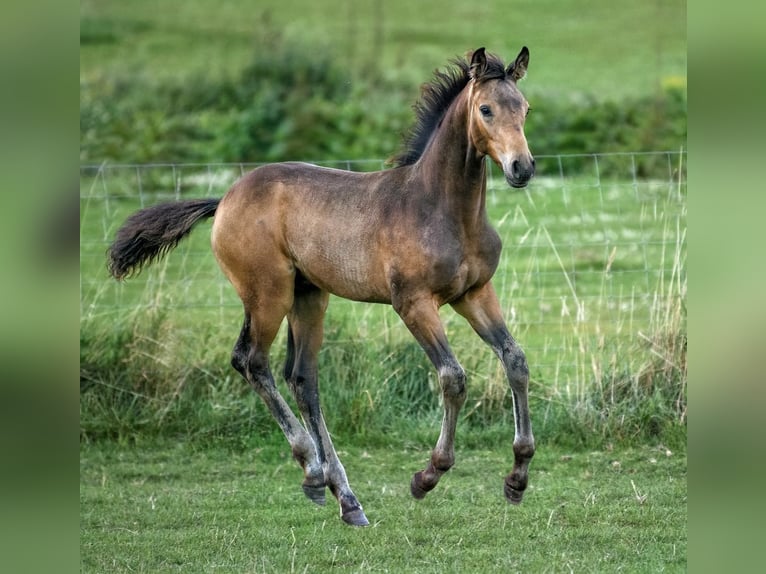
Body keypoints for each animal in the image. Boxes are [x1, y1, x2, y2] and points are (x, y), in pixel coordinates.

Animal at [108, 47, 540, 528]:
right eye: (486, 109)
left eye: (524, 108)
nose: (522, 167)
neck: (440, 208)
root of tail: (224, 200)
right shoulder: (412, 303)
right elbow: (453, 377)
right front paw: (428, 475)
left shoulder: (475, 293)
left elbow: (515, 361)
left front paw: (518, 477)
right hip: (268, 294)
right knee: (251, 361)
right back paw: (315, 472)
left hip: (309, 296)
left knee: (302, 379)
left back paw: (344, 497)